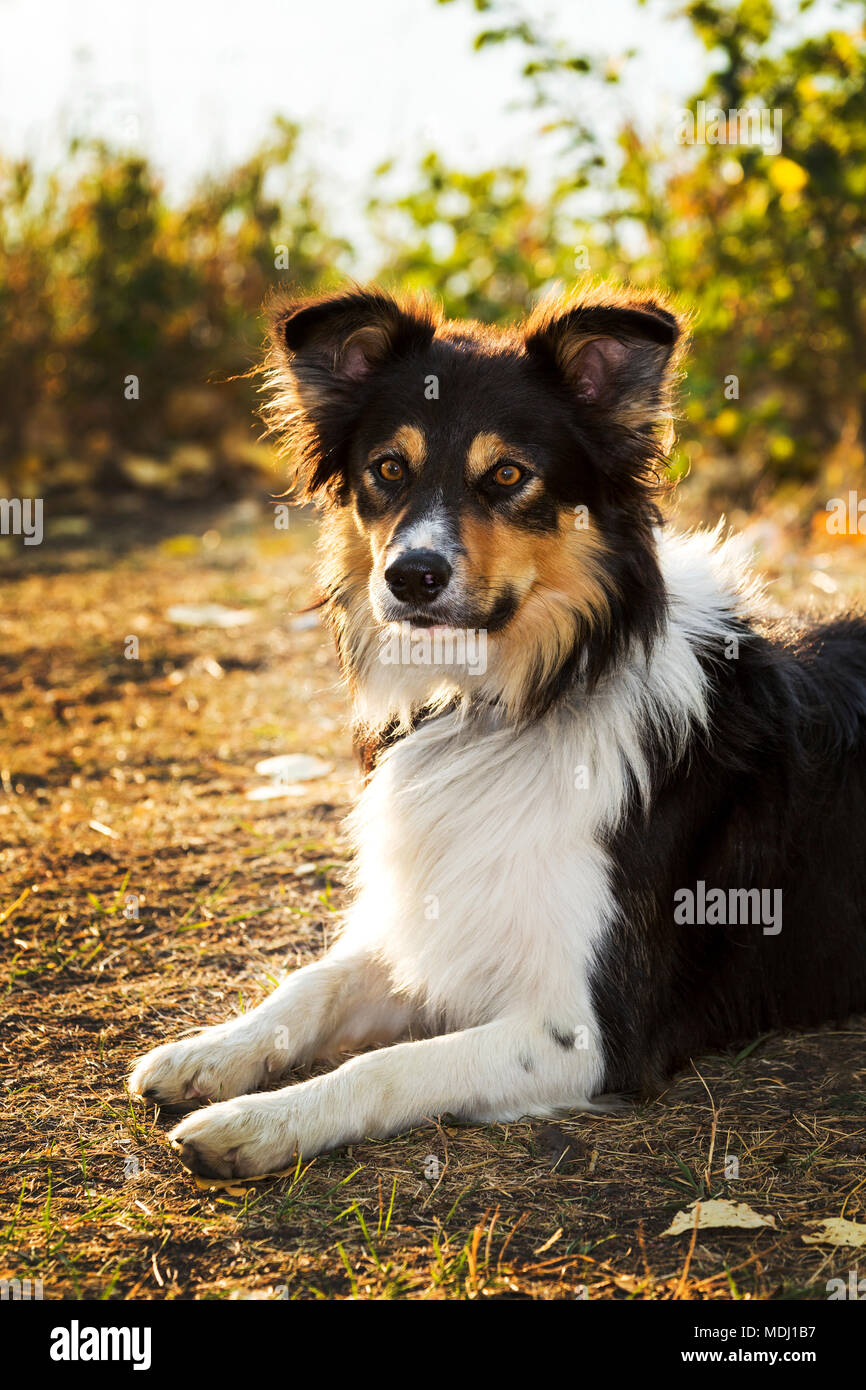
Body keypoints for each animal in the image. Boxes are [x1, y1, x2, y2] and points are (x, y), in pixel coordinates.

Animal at [127, 282, 866, 1173]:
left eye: (509, 474)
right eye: (388, 469)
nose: (409, 576)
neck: (509, 700)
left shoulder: (587, 1031)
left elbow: (389, 1065)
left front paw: (263, 1122)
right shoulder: (441, 914)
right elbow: (312, 983)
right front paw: (211, 1051)